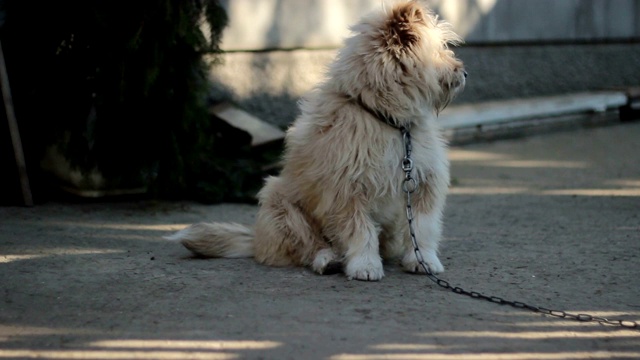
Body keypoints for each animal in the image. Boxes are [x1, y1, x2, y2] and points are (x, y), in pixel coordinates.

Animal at [165, 0, 464, 282]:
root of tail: (258, 241)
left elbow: (423, 228)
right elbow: (360, 231)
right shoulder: (346, 191)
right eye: (439, 49)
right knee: (310, 246)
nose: (464, 73)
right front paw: (365, 265)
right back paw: (327, 259)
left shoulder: (424, 182)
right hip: (281, 206)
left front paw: (423, 260)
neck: (390, 121)